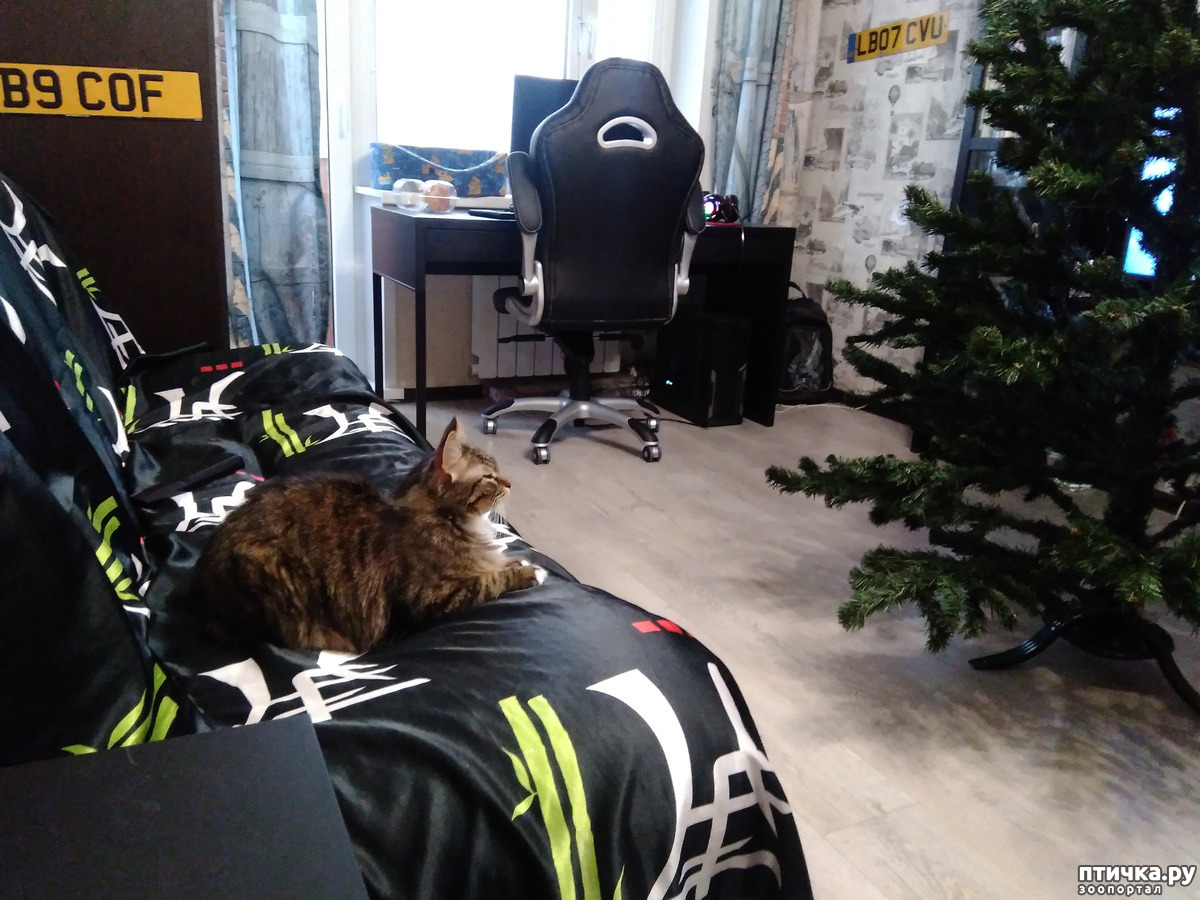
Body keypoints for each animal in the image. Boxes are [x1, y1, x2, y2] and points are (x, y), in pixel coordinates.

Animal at [195, 417, 539, 653]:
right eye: (490, 477)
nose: (510, 483)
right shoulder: (431, 597)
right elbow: (489, 581)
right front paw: (529, 572)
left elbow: (498, 564)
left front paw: (516, 563)